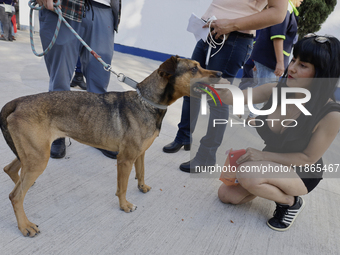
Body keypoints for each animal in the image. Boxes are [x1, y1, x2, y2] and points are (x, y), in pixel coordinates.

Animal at [0, 55, 222, 237]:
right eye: (194, 68)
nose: (221, 74)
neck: (148, 102)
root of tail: (19, 101)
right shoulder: (125, 159)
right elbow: (122, 188)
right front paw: (124, 206)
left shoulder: (140, 153)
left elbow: (141, 172)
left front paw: (142, 187)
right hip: (39, 158)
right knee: (15, 196)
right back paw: (25, 225)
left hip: (32, 154)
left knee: (10, 170)